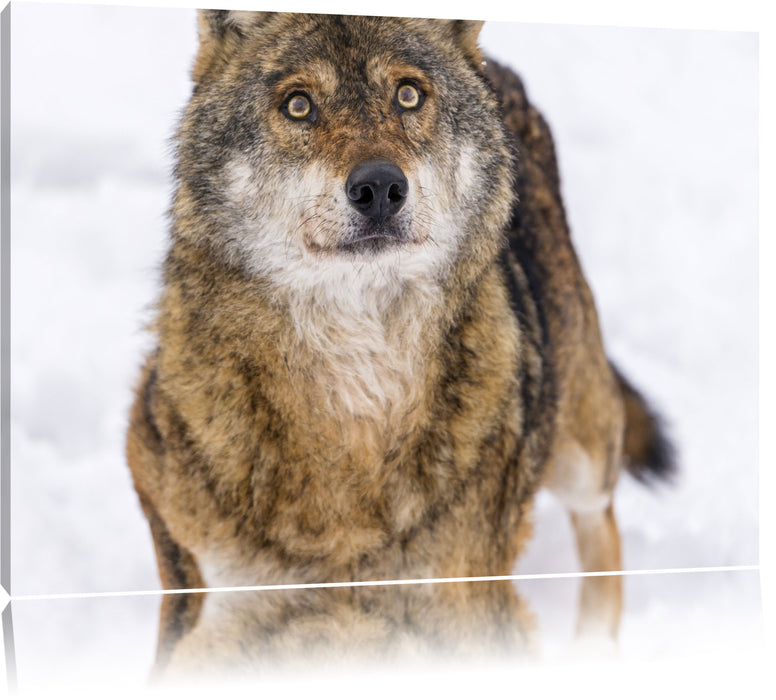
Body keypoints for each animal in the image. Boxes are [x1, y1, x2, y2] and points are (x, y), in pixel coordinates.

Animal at [126, 11, 673, 677]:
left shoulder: (469, 605)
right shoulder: (213, 607)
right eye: (298, 105)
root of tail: (496, 68)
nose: (380, 186)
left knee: (602, 528)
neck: (358, 387)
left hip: (581, 448)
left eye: (408, 95)